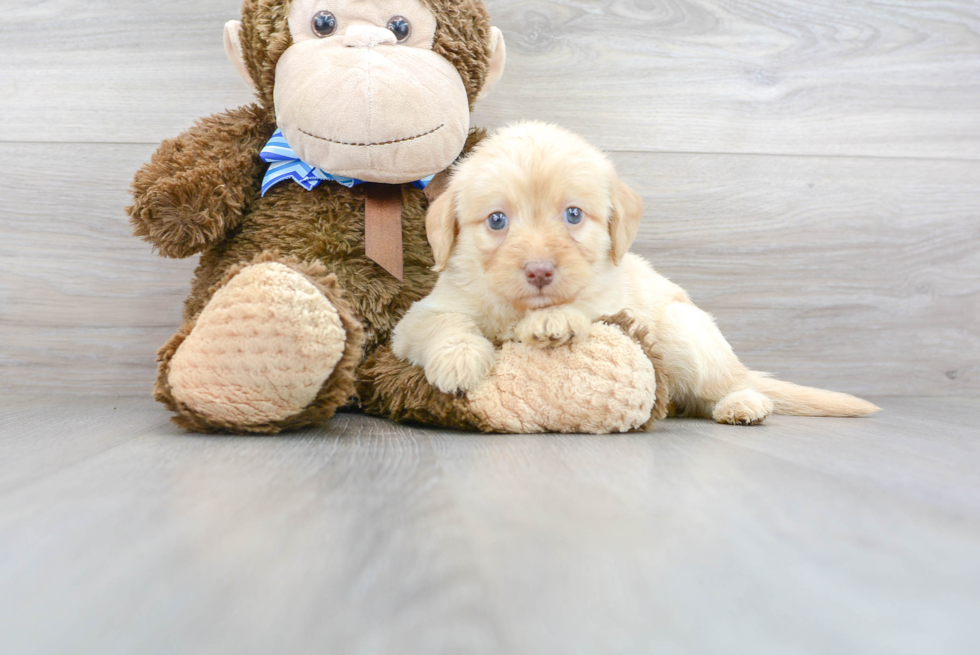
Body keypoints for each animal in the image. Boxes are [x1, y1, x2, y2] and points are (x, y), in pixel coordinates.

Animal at [392, 121, 880, 426]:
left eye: (573, 215)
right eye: (496, 221)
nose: (539, 271)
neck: (517, 307)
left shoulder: (616, 305)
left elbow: (585, 308)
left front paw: (554, 320)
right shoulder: (419, 316)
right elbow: (445, 323)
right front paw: (459, 359)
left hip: (684, 330)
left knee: (729, 385)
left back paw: (742, 403)